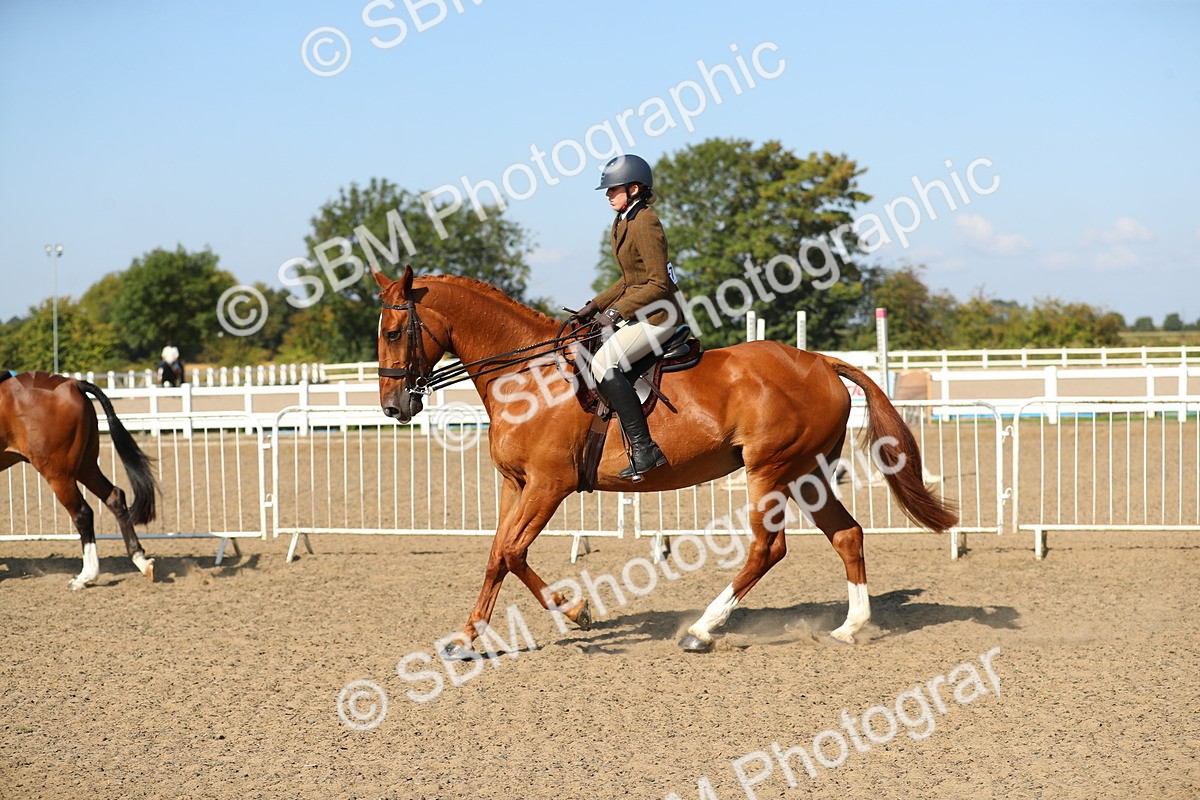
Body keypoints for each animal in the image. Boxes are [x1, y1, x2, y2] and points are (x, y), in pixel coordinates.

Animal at [0, 372, 158, 589]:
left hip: (59, 475)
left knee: (83, 513)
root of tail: (73, 383)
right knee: (114, 497)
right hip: (87, 467)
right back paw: (141, 561)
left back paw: (86, 576)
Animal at [373, 266, 957, 654]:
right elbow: (496, 556)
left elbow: (514, 554)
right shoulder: (514, 485)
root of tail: (818, 361)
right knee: (847, 534)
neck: (528, 378)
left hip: (769, 471)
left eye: (394, 331)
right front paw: (466, 636)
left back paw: (701, 631)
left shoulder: (548, 485)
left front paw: (579, 613)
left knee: (769, 548)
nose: (394, 407)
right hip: (805, 474)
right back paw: (850, 627)